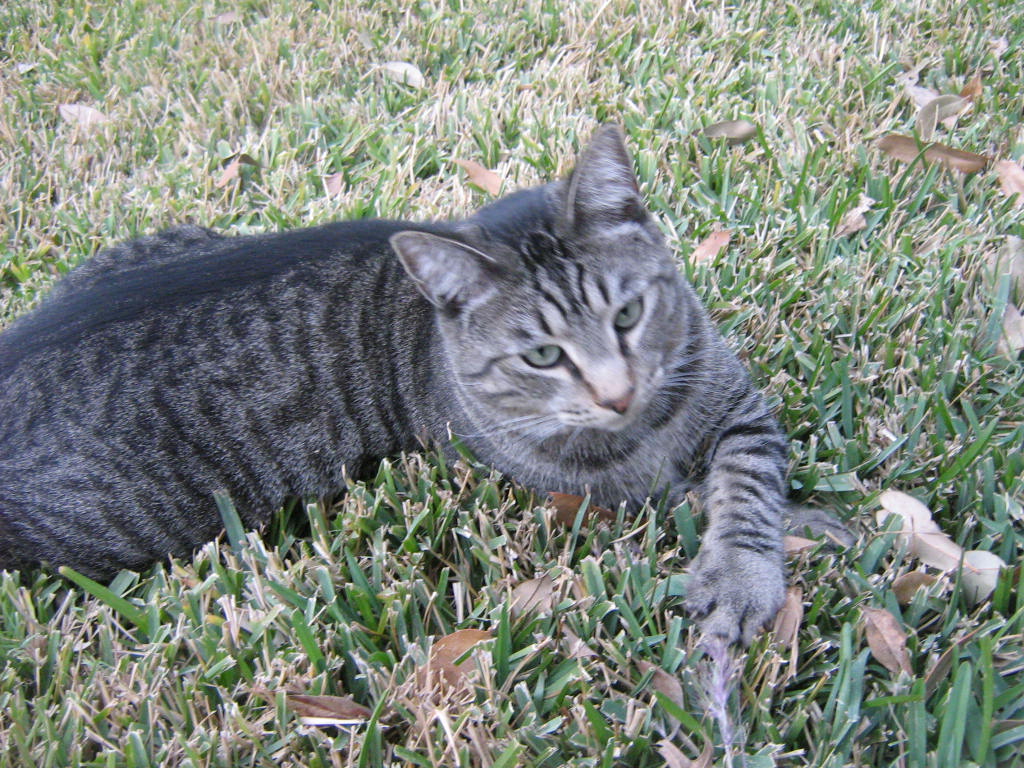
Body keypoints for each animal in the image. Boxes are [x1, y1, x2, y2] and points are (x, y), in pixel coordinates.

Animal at [0, 125, 790, 645]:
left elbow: (748, 480)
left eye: (628, 314)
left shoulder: (741, 406)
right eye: (541, 355)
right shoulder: (589, 490)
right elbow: (694, 495)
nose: (617, 395)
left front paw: (742, 576)